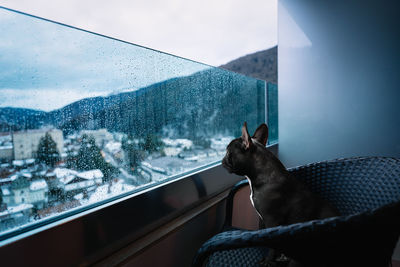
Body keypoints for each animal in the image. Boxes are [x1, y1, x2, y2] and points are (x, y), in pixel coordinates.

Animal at [220, 123, 340, 267]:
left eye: (228, 152)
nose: (222, 159)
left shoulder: (273, 221)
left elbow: (272, 245)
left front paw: (268, 261)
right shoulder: (263, 219)